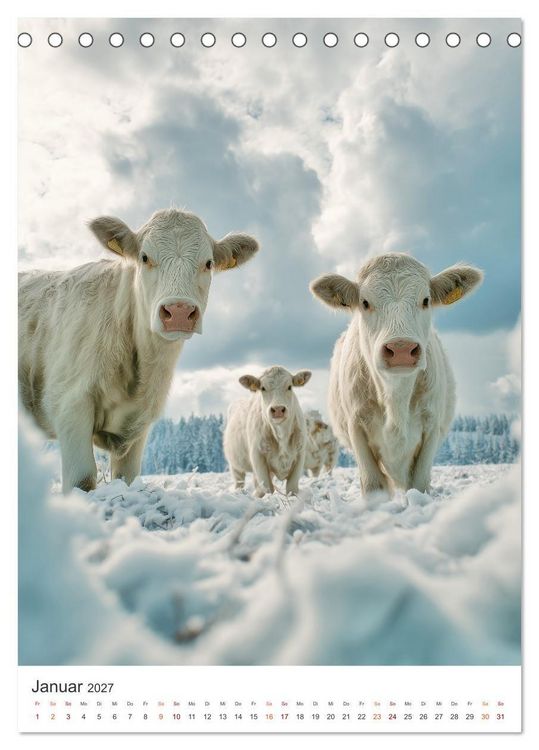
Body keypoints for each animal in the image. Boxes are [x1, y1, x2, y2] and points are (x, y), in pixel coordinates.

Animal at [19, 208, 259, 493]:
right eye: (145, 257)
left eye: (209, 263)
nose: (179, 311)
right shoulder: (69, 403)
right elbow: (83, 480)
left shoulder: (139, 424)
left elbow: (127, 478)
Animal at [223, 366, 311, 497]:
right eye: (263, 388)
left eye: (289, 386)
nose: (278, 409)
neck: (281, 435)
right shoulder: (257, 456)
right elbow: (267, 488)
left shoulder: (300, 454)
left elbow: (292, 488)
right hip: (235, 465)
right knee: (239, 481)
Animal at [310, 253, 483, 495]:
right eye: (364, 302)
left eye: (426, 300)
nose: (401, 348)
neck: (395, 399)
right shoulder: (356, 427)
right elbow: (372, 485)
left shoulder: (432, 426)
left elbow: (419, 483)